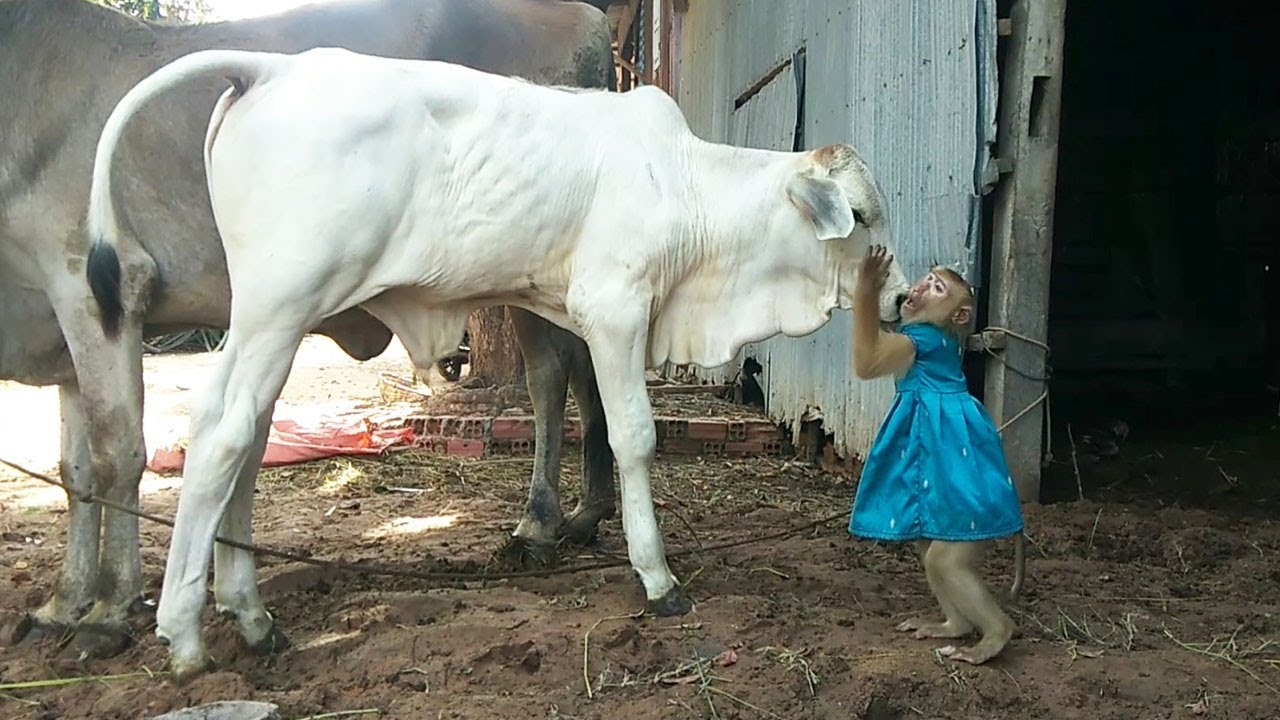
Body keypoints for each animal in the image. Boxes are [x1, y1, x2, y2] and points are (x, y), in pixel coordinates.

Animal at [0, 0, 621, 657]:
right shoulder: (60, 328)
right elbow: (74, 470)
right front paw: (63, 602)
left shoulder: (97, 287)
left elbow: (115, 454)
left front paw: (109, 610)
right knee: (584, 368)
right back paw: (587, 514)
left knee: (549, 380)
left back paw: (539, 523)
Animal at [82, 47, 911, 681]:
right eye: (861, 215)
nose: (904, 297)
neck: (690, 195)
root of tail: (270, 66)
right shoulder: (615, 308)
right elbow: (633, 438)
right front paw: (657, 577)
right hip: (277, 306)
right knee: (223, 431)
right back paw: (186, 634)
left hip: (276, 319)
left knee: (248, 436)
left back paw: (252, 618)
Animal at [846, 244, 1026, 666]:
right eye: (927, 281)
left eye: (938, 287)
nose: (915, 290)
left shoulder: (921, 340)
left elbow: (870, 360)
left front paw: (868, 283)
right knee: (930, 551)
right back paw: (954, 626)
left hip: (972, 518)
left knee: (945, 560)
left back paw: (995, 636)